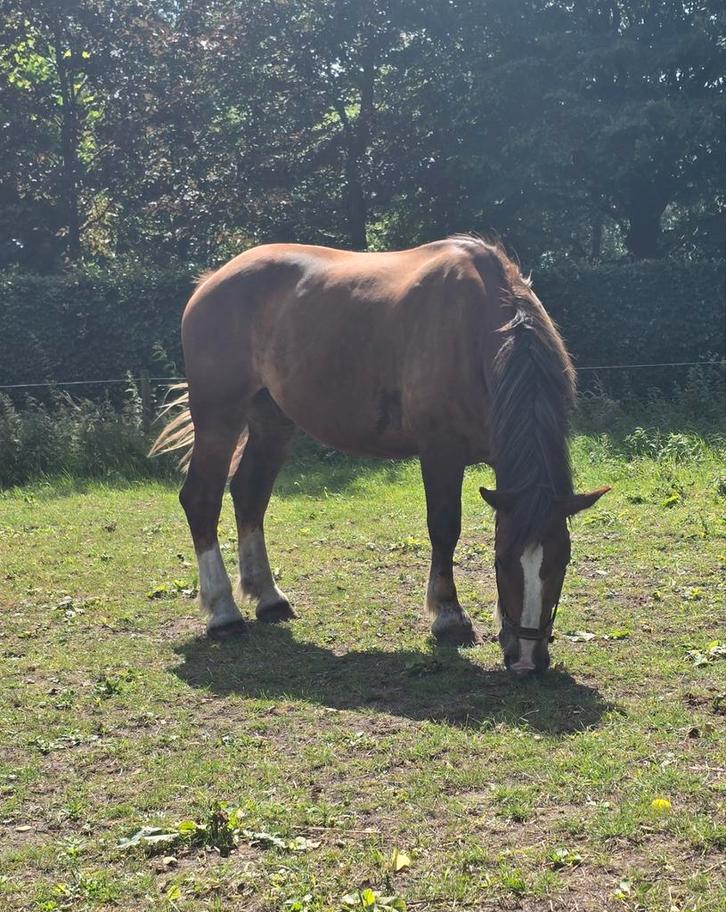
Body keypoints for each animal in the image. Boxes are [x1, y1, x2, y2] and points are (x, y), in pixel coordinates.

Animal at [151, 235, 609, 676]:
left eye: (562, 562)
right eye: (501, 562)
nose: (527, 661)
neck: (477, 327)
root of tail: (211, 281)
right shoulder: (441, 451)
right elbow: (445, 528)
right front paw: (449, 617)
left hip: (272, 421)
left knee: (250, 495)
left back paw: (269, 599)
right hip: (219, 418)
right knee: (201, 500)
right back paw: (223, 614)